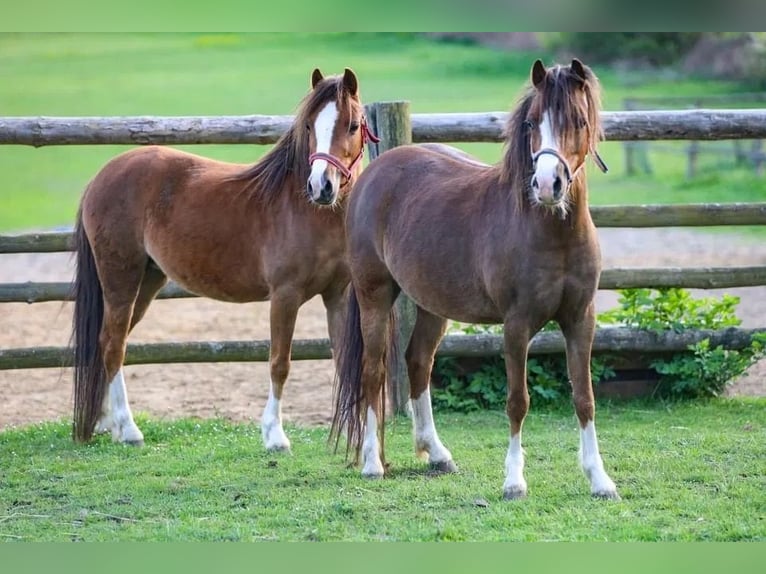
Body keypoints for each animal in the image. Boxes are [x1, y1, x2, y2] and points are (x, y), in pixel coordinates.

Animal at [70, 67, 376, 452]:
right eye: (309, 126)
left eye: (352, 125)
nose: (321, 186)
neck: (306, 210)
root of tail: (100, 177)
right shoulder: (285, 295)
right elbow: (280, 362)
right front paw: (274, 435)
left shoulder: (336, 295)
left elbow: (344, 361)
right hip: (120, 280)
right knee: (113, 346)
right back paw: (128, 429)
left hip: (146, 281)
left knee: (108, 342)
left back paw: (104, 422)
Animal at [328, 58, 620, 500]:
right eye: (532, 122)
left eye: (579, 120)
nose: (547, 185)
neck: (550, 232)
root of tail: (373, 173)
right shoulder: (517, 325)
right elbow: (518, 400)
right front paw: (514, 481)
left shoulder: (580, 319)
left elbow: (584, 398)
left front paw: (600, 479)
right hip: (373, 294)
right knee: (374, 370)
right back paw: (372, 464)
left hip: (433, 305)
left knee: (418, 362)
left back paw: (436, 454)